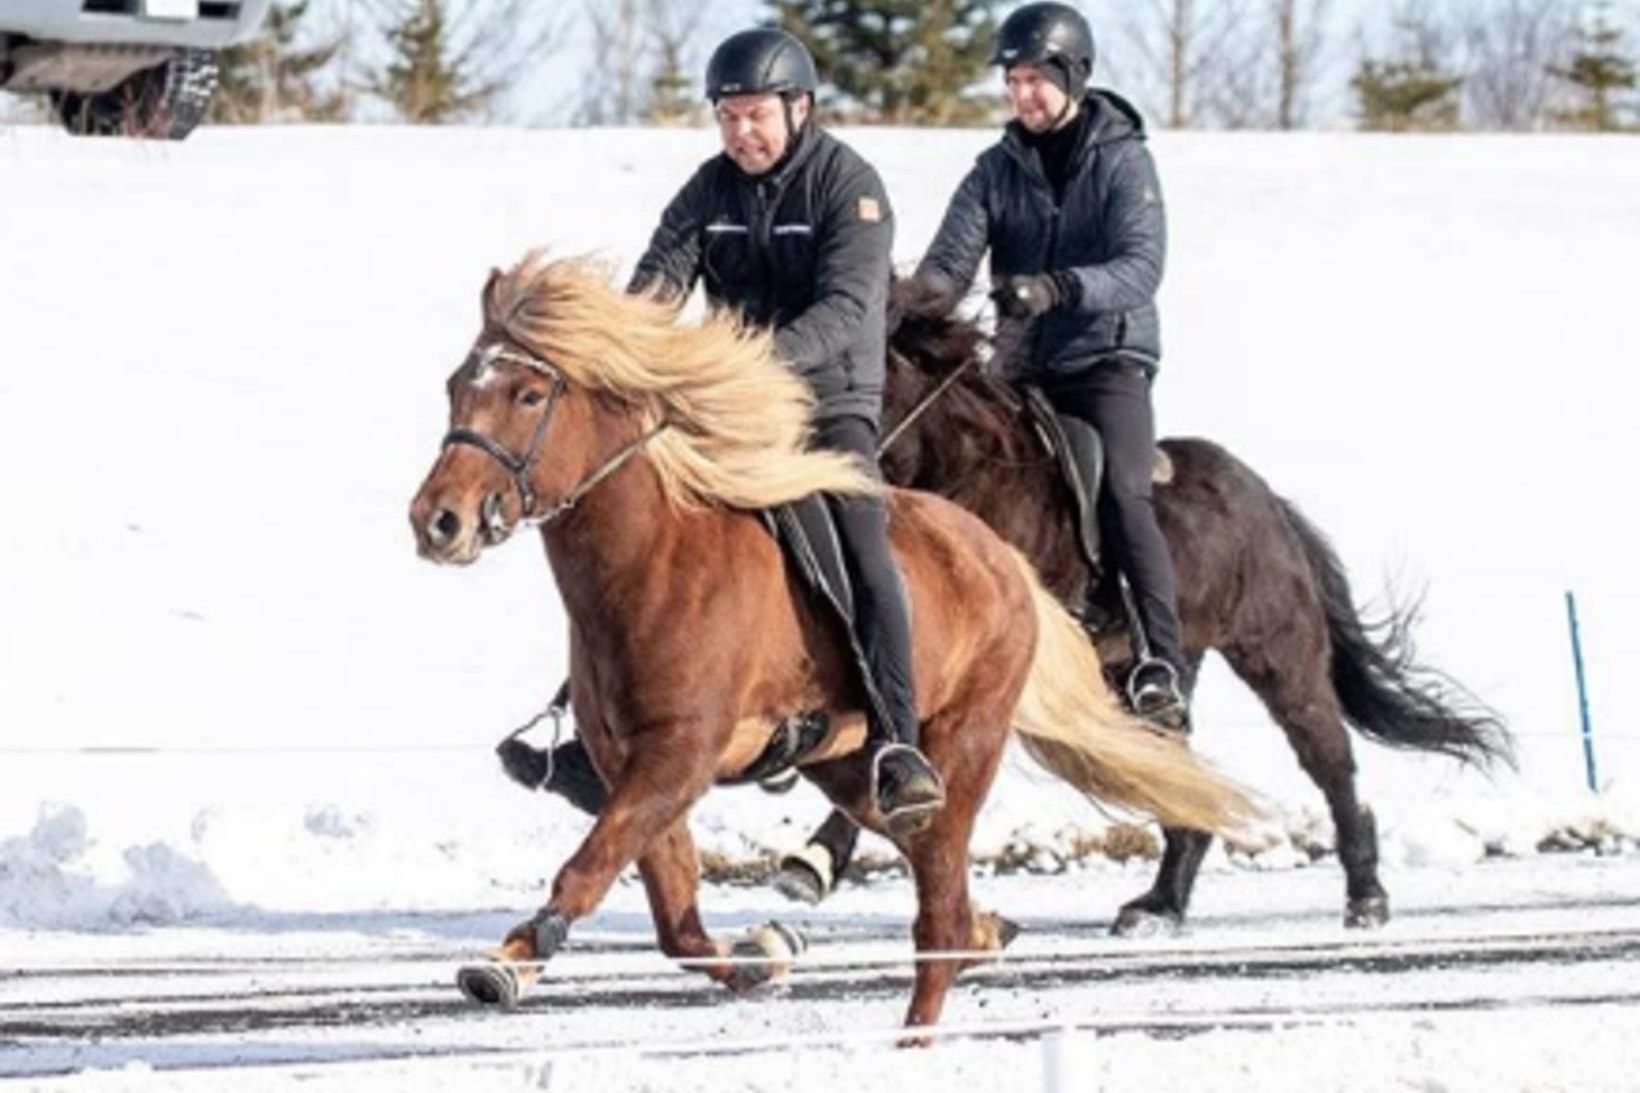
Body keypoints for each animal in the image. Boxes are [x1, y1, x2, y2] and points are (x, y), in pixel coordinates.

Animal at [410, 256, 1252, 1030]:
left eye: (527, 393)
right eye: (455, 385)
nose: (437, 520)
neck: (657, 562)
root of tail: (1003, 559)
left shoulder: (677, 755)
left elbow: (589, 869)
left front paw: (510, 960)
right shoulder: (636, 766)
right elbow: (679, 924)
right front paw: (767, 949)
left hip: (962, 743)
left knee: (939, 908)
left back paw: (921, 1030)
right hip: (849, 766)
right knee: (932, 877)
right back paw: (982, 931)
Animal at [780, 285, 1508, 932]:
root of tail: (1269, 502)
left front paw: (819, 856)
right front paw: (814, 859)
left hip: (1279, 654)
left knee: (1328, 757)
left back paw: (1365, 894)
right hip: (1162, 665)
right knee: (1179, 768)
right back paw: (1160, 903)